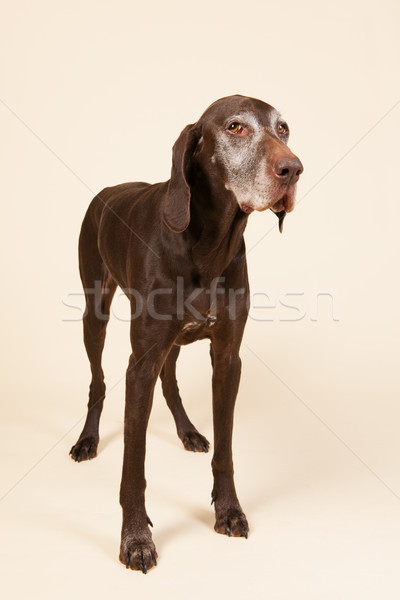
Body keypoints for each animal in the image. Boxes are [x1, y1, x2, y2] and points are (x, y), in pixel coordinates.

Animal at [71, 94, 304, 572]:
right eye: (235, 127)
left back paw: (188, 432)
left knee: (171, 380)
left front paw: (228, 509)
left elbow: (226, 449)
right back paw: (87, 439)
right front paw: (135, 538)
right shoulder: (139, 363)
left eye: (283, 128)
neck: (209, 243)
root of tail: (106, 191)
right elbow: (134, 465)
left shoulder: (228, 358)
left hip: (173, 342)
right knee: (97, 380)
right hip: (94, 313)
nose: (293, 168)